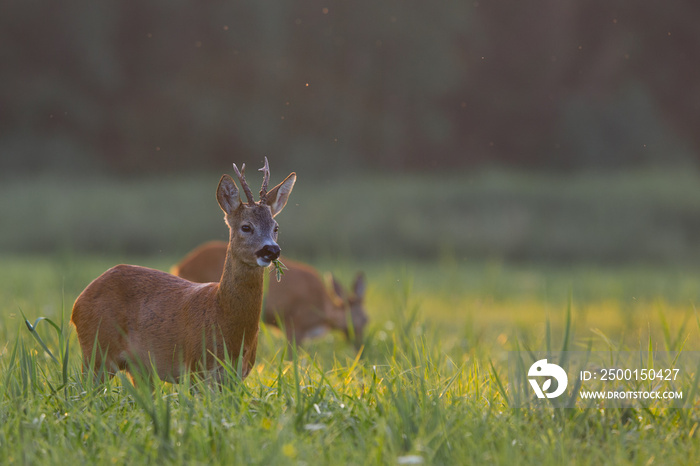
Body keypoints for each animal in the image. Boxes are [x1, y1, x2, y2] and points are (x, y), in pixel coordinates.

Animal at [72, 160, 296, 382]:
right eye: (246, 227)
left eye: (275, 227)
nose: (271, 250)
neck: (221, 314)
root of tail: (78, 301)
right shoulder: (197, 368)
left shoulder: (238, 375)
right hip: (96, 353)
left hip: (138, 369)